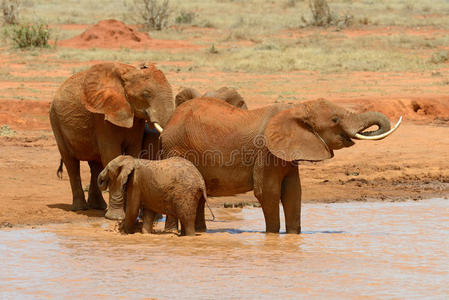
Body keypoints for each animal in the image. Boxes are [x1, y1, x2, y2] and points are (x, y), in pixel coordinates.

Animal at [49, 61, 173, 218]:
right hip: (55, 121)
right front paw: (116, 217)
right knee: (71, 163)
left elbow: (133, 152)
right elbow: (111, 154)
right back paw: (80, 208)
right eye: (146, 94)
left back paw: (98, 207)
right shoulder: (102, 115)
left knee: (95, 165)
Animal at [159, 97, 400, 233]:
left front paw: (293, 236)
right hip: (176, 149)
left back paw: (201, 231)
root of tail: (170, 121)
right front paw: (272, 236)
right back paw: (172, 233)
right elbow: (268, 192)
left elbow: (294, 192)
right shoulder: (266, 152)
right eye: (335, 120)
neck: (296, 109)